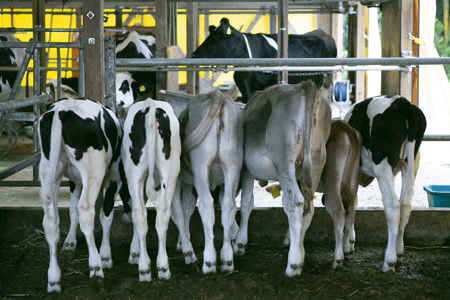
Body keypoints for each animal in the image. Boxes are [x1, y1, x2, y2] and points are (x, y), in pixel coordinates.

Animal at [38, 98, 123, 292]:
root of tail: (61, 110)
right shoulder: (114, 177)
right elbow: (106, 215)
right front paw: (106, 256)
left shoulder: (74, 180)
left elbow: (72, 210)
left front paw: (70, 243)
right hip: (94, 170)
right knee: (86, 210)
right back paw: (96, 269)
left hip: (49, 170)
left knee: (50, 219)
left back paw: (54, 278)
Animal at [122, 98, 182, 282]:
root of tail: (150, 106)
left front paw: (134, 253)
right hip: (169, 170)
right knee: (159, 213)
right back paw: (159, 268)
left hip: (134, 174)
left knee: (141, 213)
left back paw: (147, 267)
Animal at [344, 95, 426, 272]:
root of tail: (399, 101)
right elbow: (353, 202)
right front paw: (350, 241)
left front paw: (346, 247)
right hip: (411, 162)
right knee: (405, 204)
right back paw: (399, 253)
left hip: (382, 164)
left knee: (393, 205)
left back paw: (389, 261)